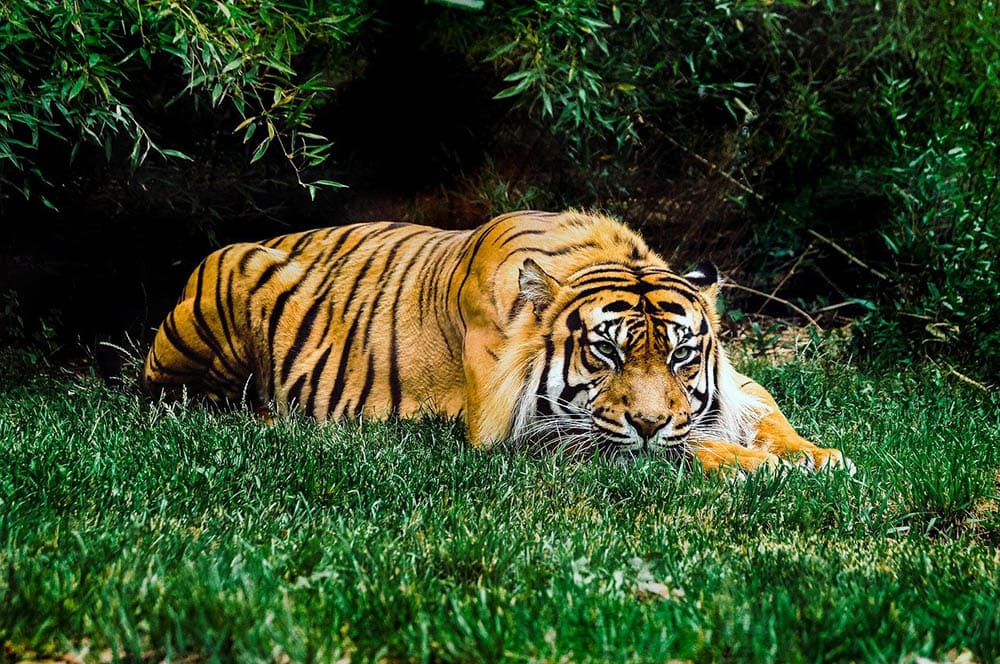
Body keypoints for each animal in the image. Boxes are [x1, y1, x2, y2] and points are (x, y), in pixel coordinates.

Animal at [144, 210, 853, 475]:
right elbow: (683, 448)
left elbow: (766, 412)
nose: (651, 421)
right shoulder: (521, 431)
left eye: (681, 354)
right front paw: (760, 465)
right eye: (606, 352)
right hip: (233, 280)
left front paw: (818, 455)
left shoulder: (735, 386)